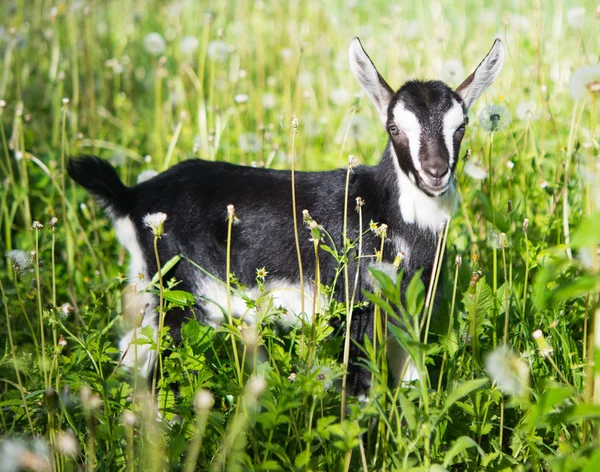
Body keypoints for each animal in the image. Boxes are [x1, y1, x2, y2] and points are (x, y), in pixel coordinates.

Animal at [68, 37, 504, 394]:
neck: (389, 217)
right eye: (394, 127)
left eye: (461, 126)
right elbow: (359, 388)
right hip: (178, 294)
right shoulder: (356, 306)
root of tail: (132, 196)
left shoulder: (408, 314)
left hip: (149, 292)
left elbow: (414, 385)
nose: (435, 172)